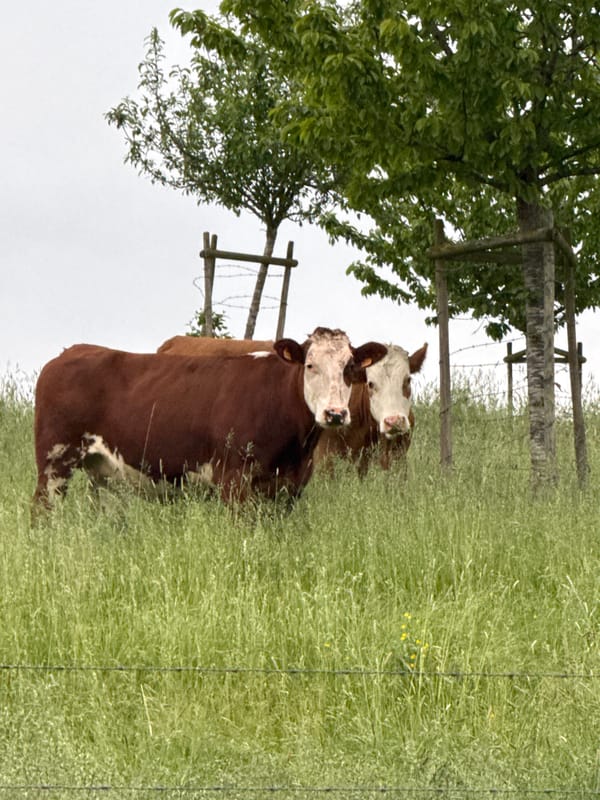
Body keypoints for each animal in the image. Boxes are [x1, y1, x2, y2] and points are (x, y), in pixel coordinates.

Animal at [32, 328, 387, 511]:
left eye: (349, 369)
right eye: (310, 365)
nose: (335, 414)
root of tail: (70, 352)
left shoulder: (289, 488)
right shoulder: (233, 481)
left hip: (102, 473)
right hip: (54, 462)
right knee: (42, 510)